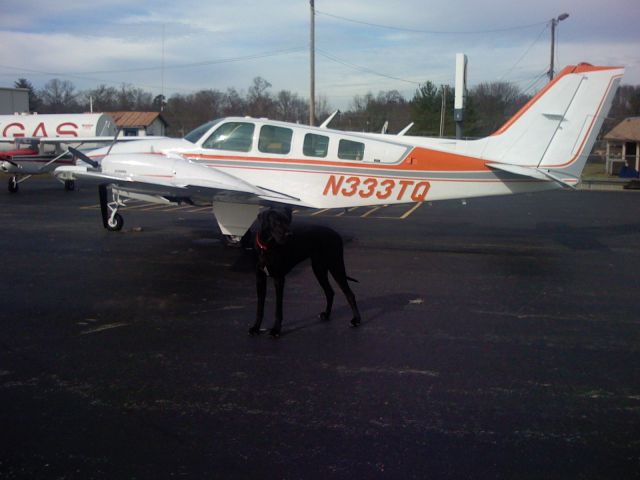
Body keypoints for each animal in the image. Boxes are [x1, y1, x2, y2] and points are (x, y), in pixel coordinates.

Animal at [249, 209, 362, 338]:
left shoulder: (279, 279)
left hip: (336, 267)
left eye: (287, 221)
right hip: (319, 269)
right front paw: (256, 327)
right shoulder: (260, 279)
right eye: (277, 221)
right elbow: (259, 308)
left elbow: (278, 309)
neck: (267, 246)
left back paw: (356, 320)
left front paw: (276, 330)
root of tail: (336, 234)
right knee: (329, 292)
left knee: (349, 294)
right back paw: (327, 314)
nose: (290, 235)